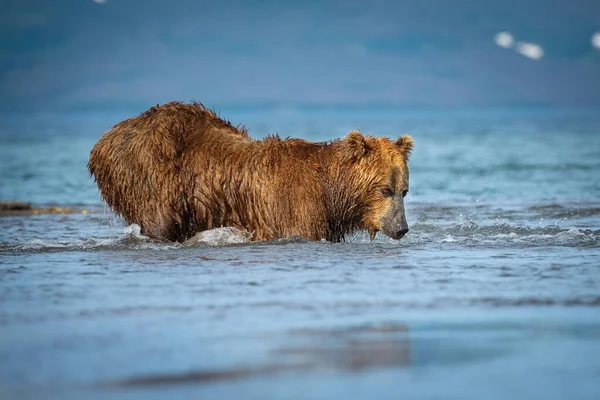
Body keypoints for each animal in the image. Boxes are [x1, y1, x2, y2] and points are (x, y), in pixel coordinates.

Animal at [88, 101, 412, 242]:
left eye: (404, 191)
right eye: (385, 189)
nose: (401, 228)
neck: (333, 191)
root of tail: (105, 139)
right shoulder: (295, 209)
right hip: (150, 176)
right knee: (159, 223)